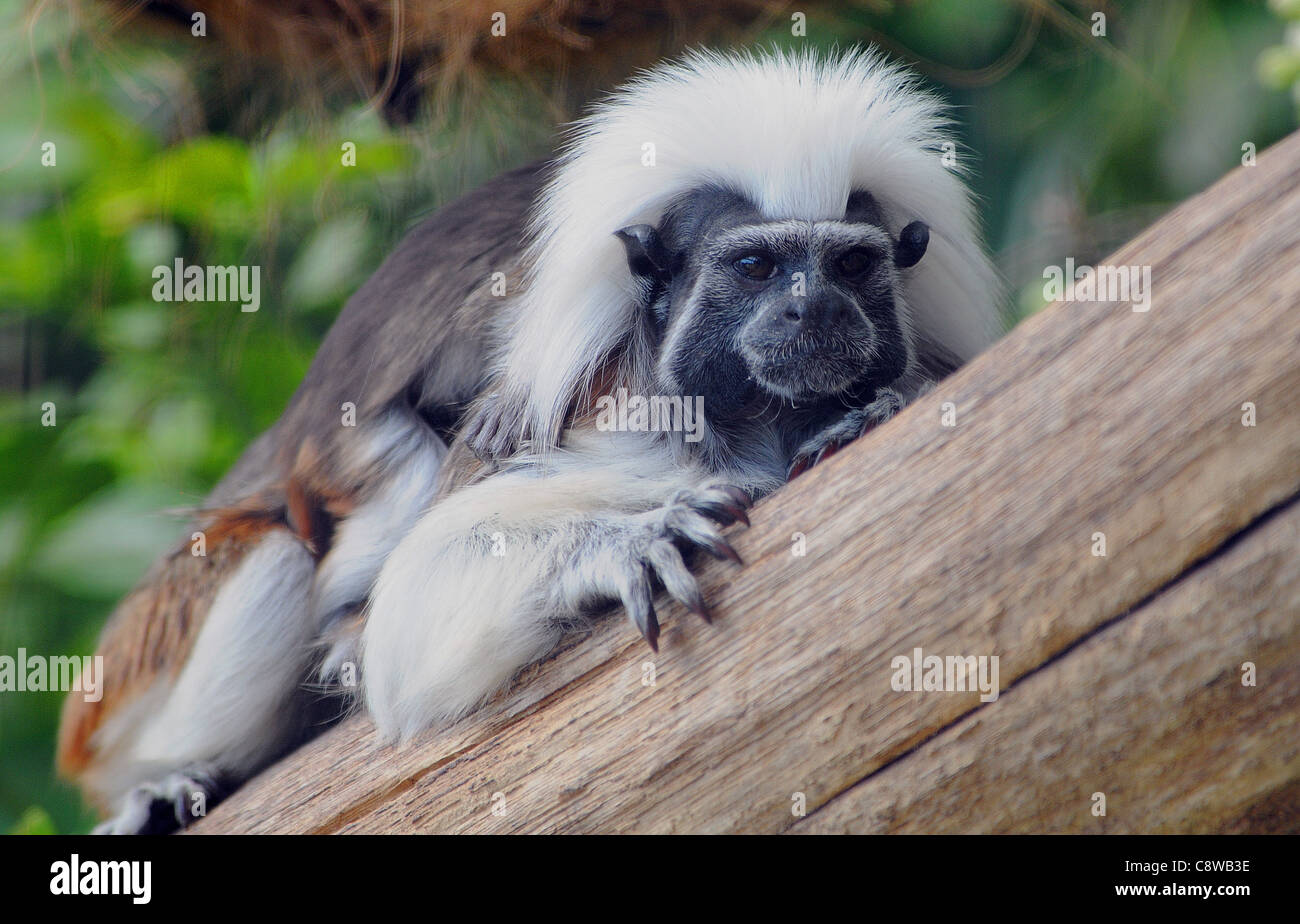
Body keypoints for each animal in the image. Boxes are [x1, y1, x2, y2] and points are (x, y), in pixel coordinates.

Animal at [55, 47, 998, 836]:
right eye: (757, 267)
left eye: (850, 266)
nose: (815, 311)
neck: (759, 421)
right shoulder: (619, 419)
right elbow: (418, 603)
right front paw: (627, 545)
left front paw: (871, 414)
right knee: (290, 551)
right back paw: (164, 782)